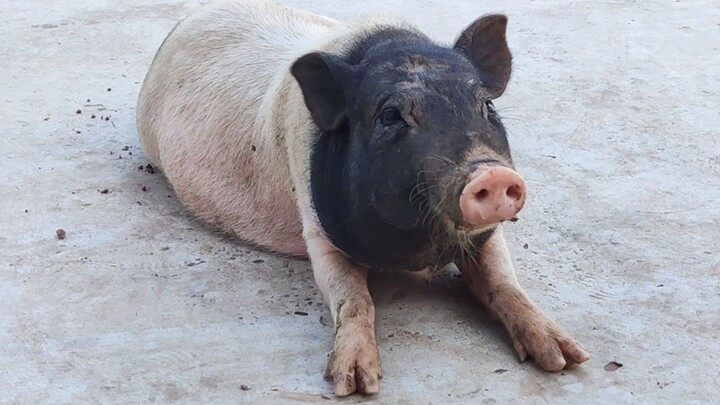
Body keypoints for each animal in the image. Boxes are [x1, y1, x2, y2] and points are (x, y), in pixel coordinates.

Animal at [136, 0, 590, 396]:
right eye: (391, 116)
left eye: (486, 106)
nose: (492, 174)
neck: (420, 251)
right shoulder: (317, 230)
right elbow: (353, 297)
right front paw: (355, 384)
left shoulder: (486, 234)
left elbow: (504, 281)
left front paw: (566, 359)